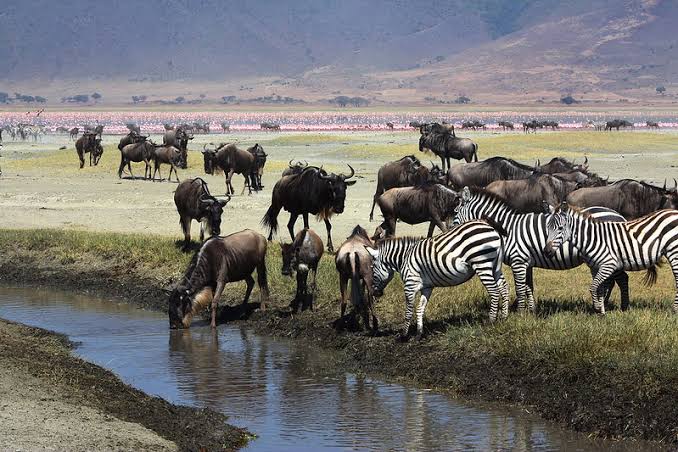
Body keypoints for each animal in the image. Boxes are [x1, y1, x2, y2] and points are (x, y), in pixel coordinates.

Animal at [365, 220, 509, 340]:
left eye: (372, 268)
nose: (375, 293)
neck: (404, 258)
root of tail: (490, 226)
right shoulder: (427, 287)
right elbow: (420, 309)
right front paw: (419, 334)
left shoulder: (409, 285)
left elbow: (408, 311)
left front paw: (404, 335)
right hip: (495, 266)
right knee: (504, 288)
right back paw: (504, 317)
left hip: (482, 264)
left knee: (494, 292)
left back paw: (491, 322)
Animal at [453, 187, 629, 312]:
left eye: (454, 212)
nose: (451, 231)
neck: (508, 228)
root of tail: (619, 216)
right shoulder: (526, 263)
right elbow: (528, 287)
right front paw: (531, 311)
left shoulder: (518, 261)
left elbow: (520, 288)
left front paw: (520, 313)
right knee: (613, 280)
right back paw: (604, 304)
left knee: (621, 279)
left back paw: (621, 307)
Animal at [544, 203, 678, 314]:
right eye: (547, 227)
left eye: (560, 228)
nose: (547, 251)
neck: (592, 238)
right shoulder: (596, 267)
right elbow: (600, 288)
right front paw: (601, 311)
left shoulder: (609, 264)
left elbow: (593, 287)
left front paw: (598, 308)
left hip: (674, 251)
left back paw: (674, 310)